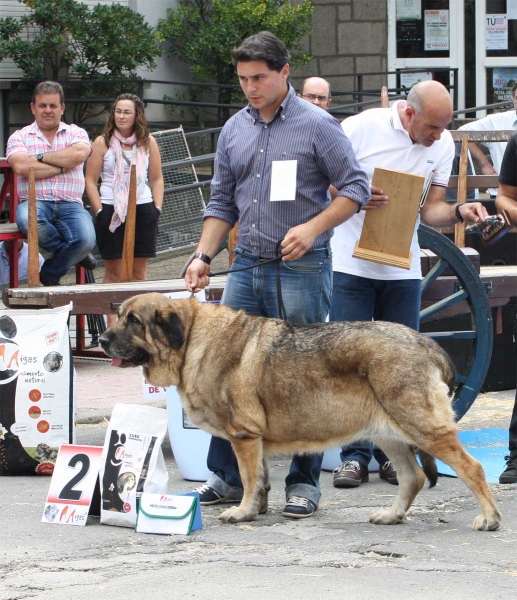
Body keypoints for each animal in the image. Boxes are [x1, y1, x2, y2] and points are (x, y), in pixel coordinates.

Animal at [100, 292, 500, 532]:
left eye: (134, 321)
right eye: (117, 316)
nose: (102, 340)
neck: (193, 337)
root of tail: (428, 344)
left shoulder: (243, 436)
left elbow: (248, 478)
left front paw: (242, 511)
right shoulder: (254, 440)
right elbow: (260, 479)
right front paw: (256, 509)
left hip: (422, 427)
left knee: (472, 468)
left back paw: (489, 517)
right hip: (389, 433)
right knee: (412, 477)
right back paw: (392, 515)